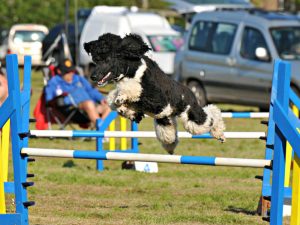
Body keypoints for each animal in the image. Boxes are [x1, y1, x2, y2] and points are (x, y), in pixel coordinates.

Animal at [84, 32, 225, 154]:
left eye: (108, 58)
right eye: (96, 59)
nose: (93, 76)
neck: (132, 70)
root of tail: (190, 92)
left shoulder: (155, 98)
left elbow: (132, 90)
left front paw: (123, 100)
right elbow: (114, 99)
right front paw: (126, 110)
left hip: (191, 116)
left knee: (210, 117)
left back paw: (219, 133)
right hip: (165, 120)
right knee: (170, 137)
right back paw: (171, 147)